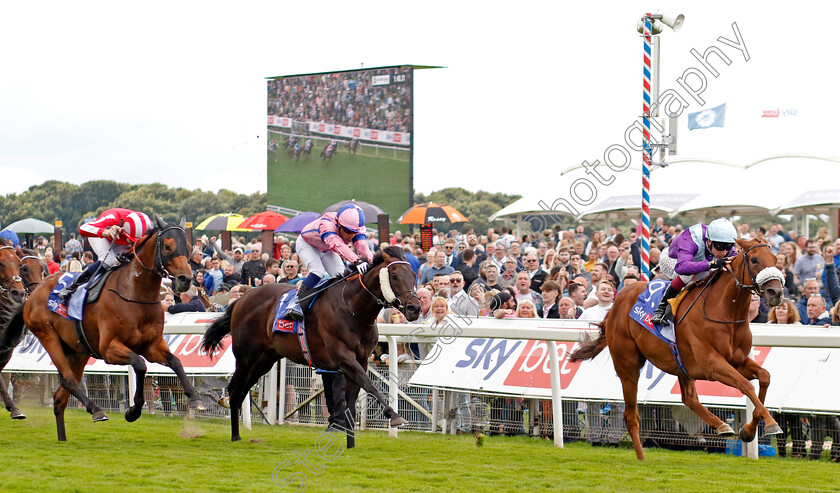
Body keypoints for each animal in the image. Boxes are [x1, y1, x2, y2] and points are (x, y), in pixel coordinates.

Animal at [2, 217, 206, 440]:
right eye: (168, 246)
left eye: (189, 247)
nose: (185, 279)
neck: (134, 293)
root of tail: (33, 294)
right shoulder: (109, 348)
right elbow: (139, 364)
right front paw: (133, 411)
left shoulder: (151, 345)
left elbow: (175, 361)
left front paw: (195, 398)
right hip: (47, 335)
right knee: (68, 380)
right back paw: (96, 410)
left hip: (77, 351)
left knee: (59, 398)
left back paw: (63, 438)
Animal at [201, 245, 424, 442]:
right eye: (394, 276)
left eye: (413, 275)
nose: (414, 308)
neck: (353, 309)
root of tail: (241, 299)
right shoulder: (343, 357)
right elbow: (369, 384)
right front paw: (393, 414)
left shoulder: (361, 359)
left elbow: (355, 394)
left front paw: (348, 433)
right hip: (246, 357)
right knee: (235, 391)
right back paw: (235, 435)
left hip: (264, 361)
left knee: (240, 390)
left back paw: (237, 434)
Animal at [568, 238, 784, 462]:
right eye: (754, 259)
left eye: (775, 259)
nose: (775, 292)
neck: (725, 311)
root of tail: (615, 303)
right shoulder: (711, 364)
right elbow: (745, 385)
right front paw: (770, 424)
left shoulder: (738, 361)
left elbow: (765, 376)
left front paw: (749, 430)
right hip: (627, 365)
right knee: (631, 416)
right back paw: (642, 459)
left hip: (681, 364)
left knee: (688, 398)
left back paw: (721, 425)